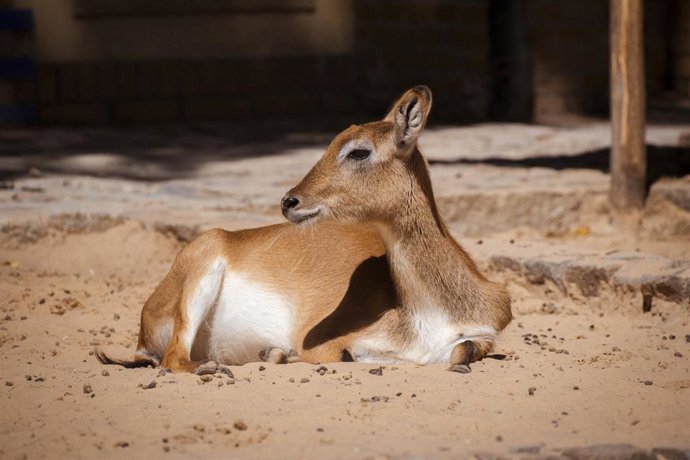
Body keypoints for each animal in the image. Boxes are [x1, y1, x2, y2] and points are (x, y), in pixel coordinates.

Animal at [96, 86, 512, 375]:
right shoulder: (329, 344)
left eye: (358, 150)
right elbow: (344, 356)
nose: (289, 201)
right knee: (173, 359)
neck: (430, 312)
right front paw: (280, 353)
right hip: (202, 268)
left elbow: (461, 351)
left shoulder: (479, 337)